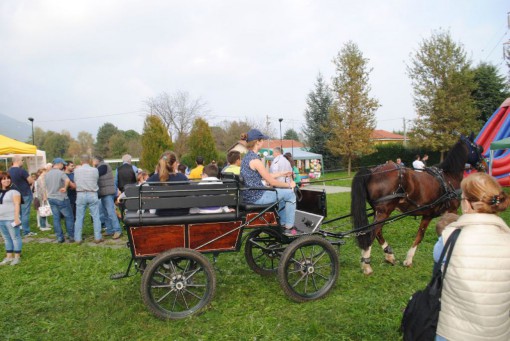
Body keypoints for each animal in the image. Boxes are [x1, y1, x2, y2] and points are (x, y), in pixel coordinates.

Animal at [350, 134, 486, 274]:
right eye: (478, 148)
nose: (484, 164)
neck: (448, 177)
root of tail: (373, 171)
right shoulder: (452, 210)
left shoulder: (428, 214)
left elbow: (420, 235)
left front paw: (409, 259)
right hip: (384, 211)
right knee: (372, 233)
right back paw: (366, 265)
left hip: (379, 211)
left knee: (376, 232)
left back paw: (389, 256)